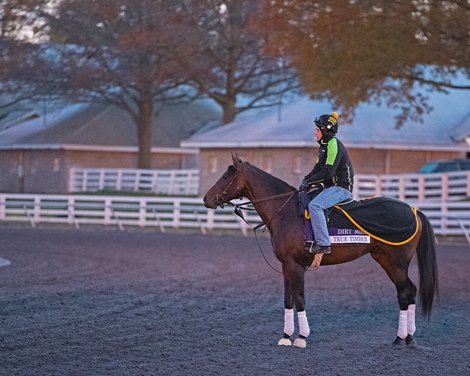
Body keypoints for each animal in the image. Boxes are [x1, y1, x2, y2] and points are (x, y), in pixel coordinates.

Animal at [204, 153, 438, 350]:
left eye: (226, 176)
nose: (206, 199)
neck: (286, 212)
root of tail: (414, 210)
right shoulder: (286, 266)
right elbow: (288, 299)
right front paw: (286, 336)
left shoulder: (297, 266)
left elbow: (299, 299)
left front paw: (301, 337)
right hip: (386, 261)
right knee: (407, 293)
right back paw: (406, 338)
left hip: (397, 263)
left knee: (406, 293)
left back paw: (403, 338)